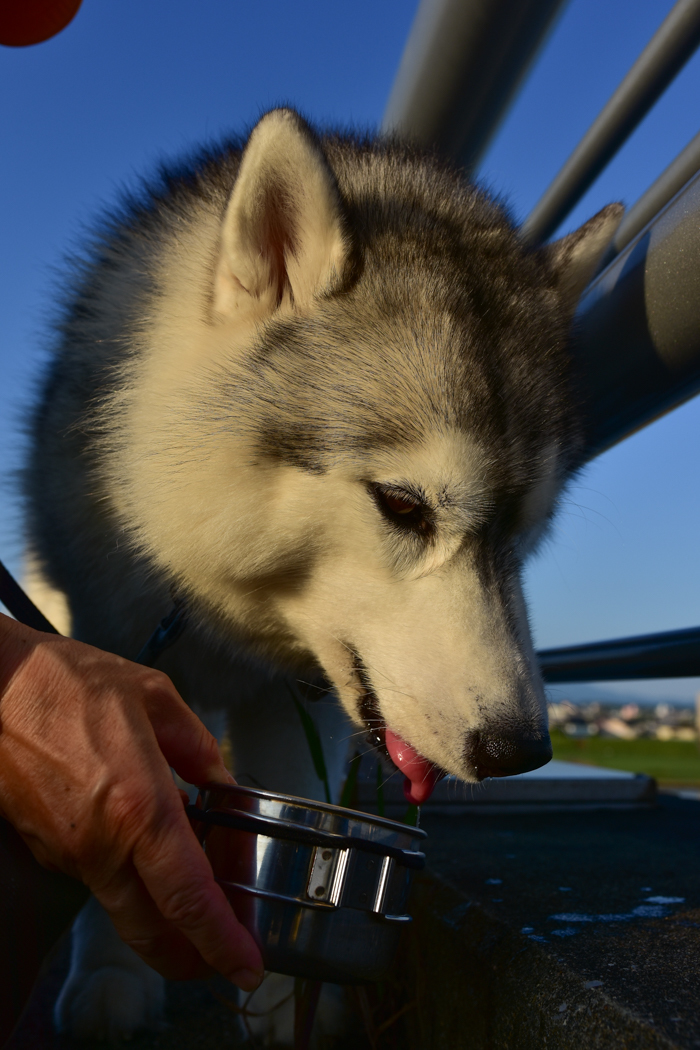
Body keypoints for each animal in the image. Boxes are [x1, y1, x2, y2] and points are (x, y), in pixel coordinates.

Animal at [21, 106, 621, 1041]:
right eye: (403, 506)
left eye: (526, 528)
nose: (520, 751)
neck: (228, 611)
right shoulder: (124, 648)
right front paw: (117, 969)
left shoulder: (301, 702)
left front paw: (282, 1001)